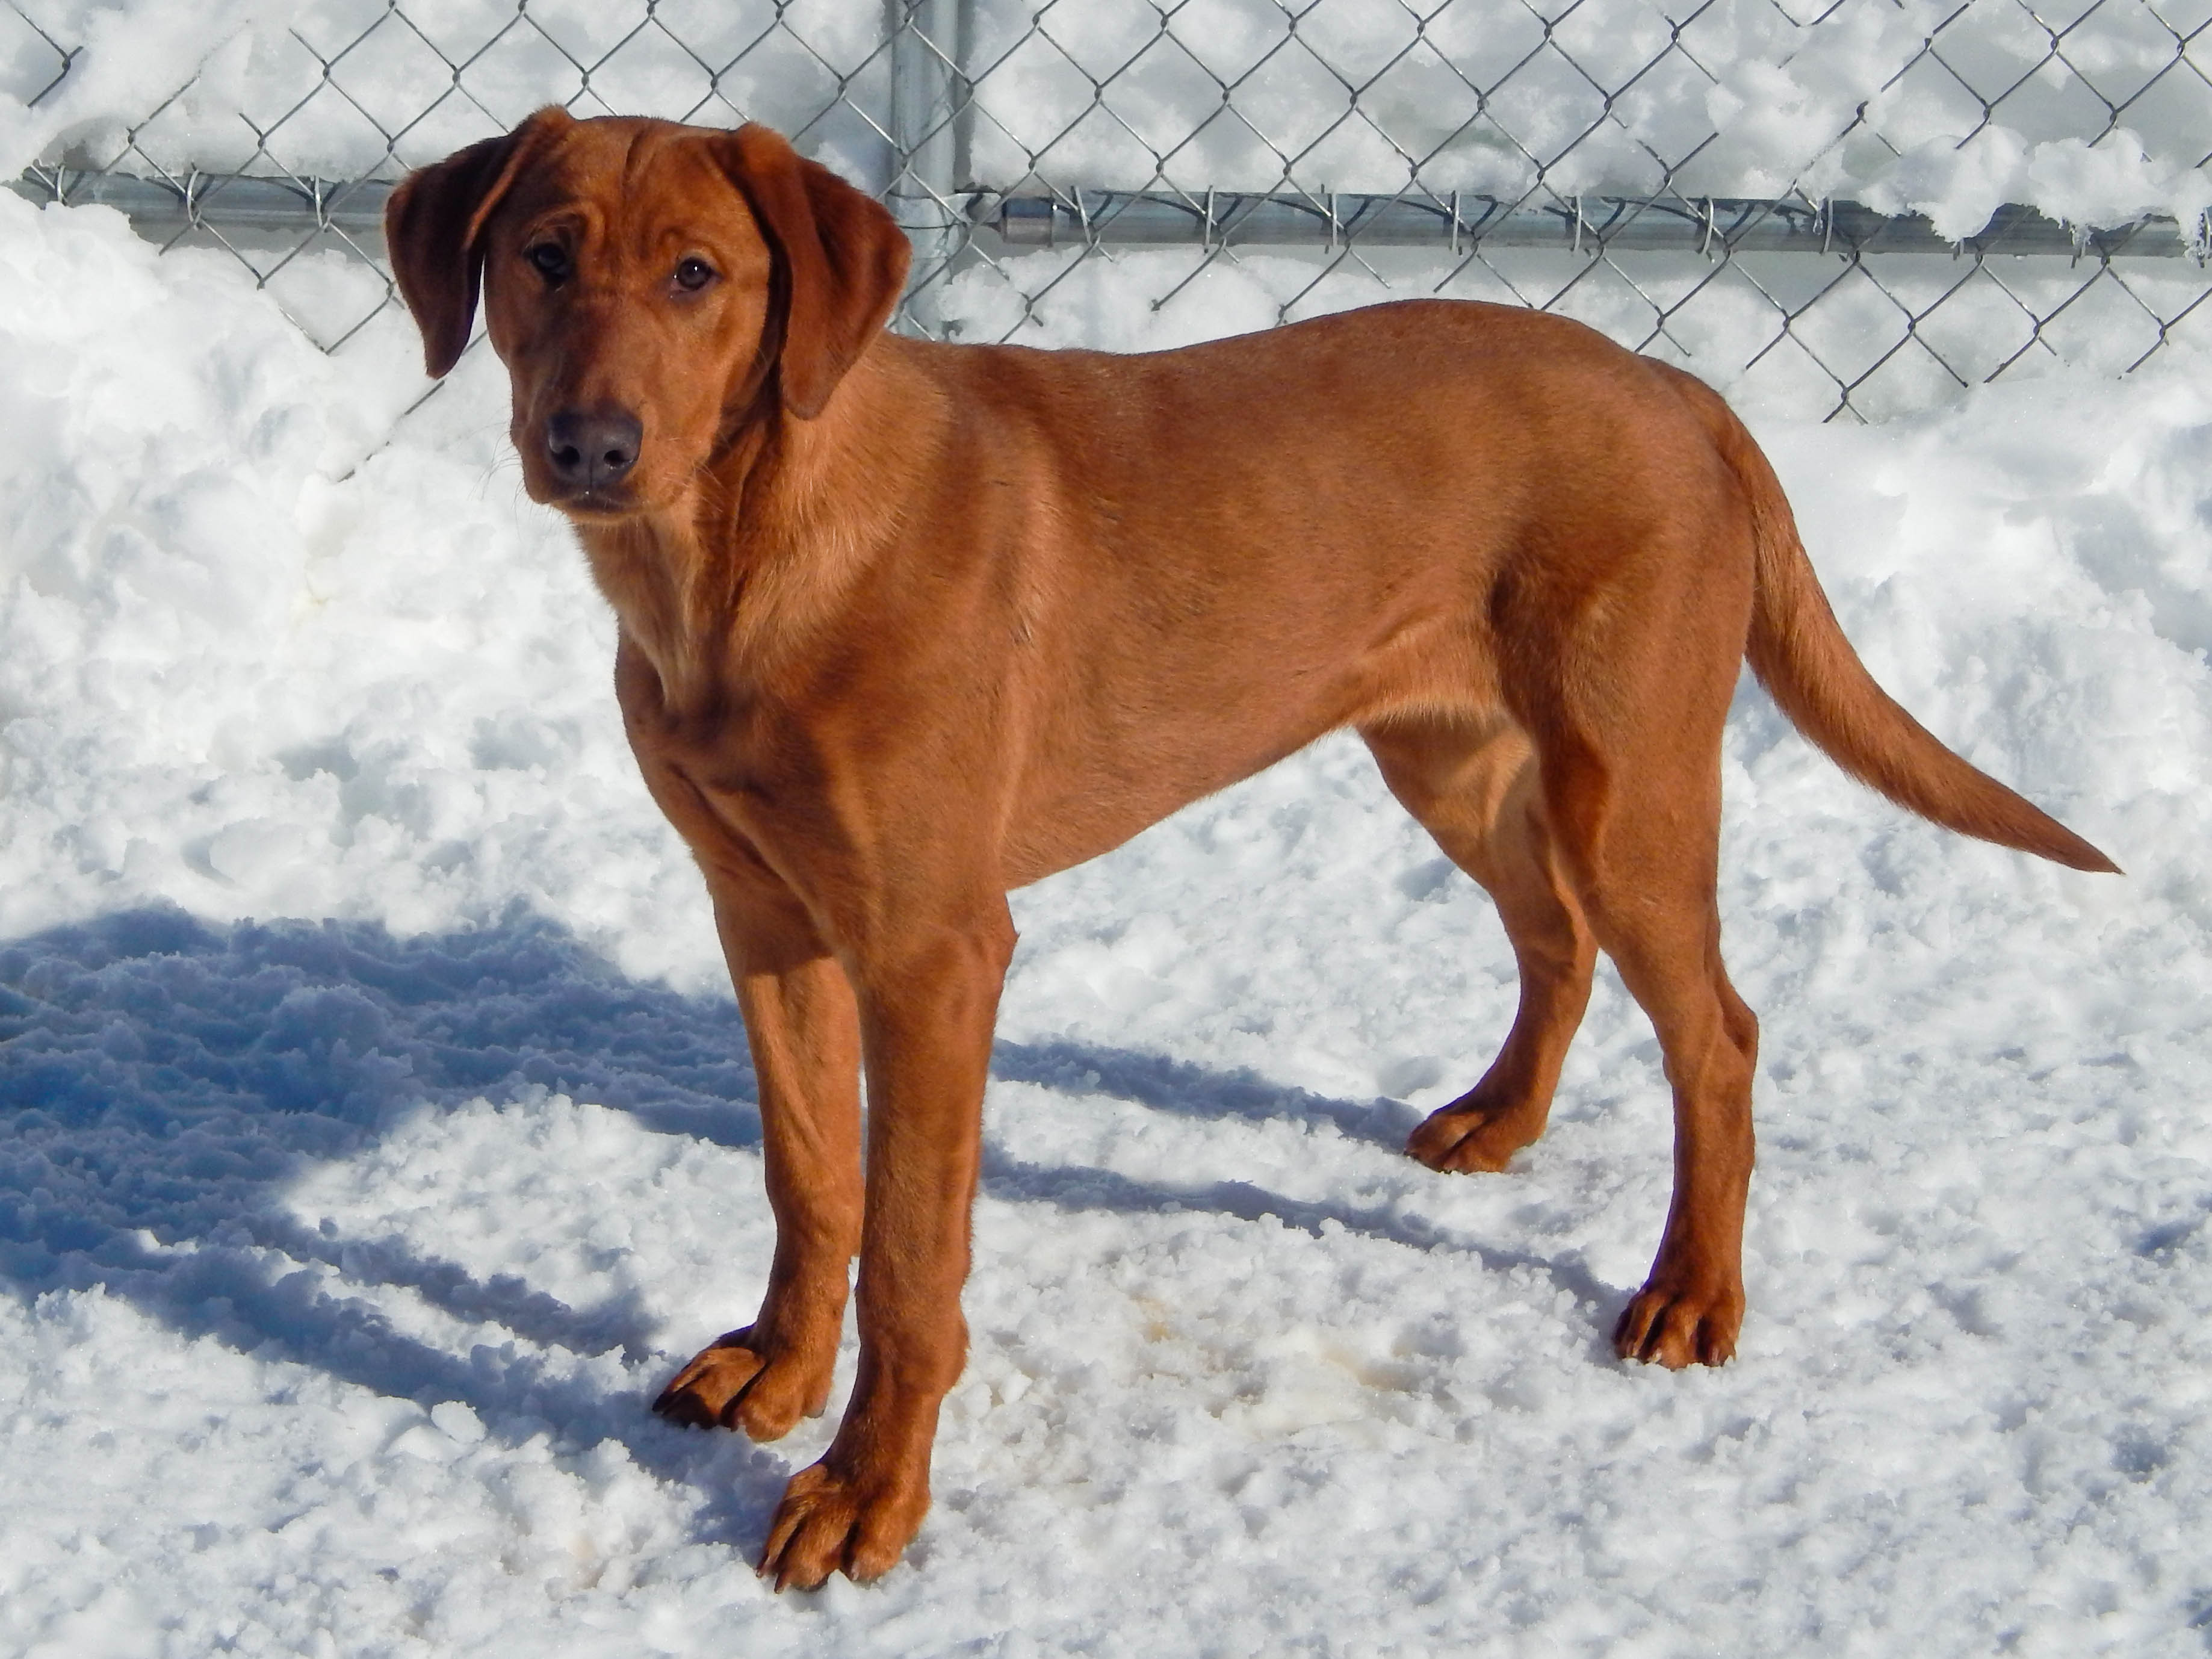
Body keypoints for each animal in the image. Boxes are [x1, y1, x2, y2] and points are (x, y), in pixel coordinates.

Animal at [384, 109, 2117, 1590]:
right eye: (543, 254)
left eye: (698, 275)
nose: (588, 447)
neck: (739, 559)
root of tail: (1668, 383)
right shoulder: (764, 918)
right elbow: (810, 1181)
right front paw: (777, 1367)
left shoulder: (936, 950)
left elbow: (910, 1254)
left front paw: (867, 1489)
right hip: (1450, 757)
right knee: (1550, 937)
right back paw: (1499, 1121)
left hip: (1628, 789)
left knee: (1719, 1033)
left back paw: (1690, 1290)